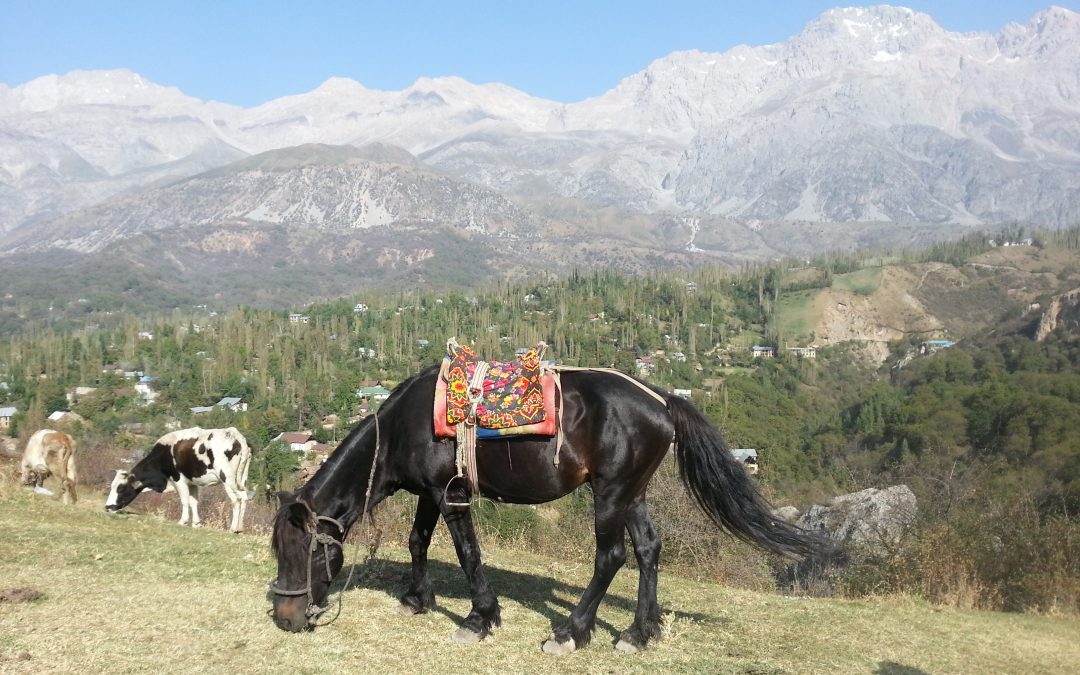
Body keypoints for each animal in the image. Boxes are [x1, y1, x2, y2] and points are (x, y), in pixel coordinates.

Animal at [108, 425, 254, 531]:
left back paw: (233, 528)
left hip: (227, 478)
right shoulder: (192, 482)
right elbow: (194, 502)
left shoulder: (178, 480)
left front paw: (182, 521)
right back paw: (240, 528)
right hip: (240, 479)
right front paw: (196, 523)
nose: (108, 507)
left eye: (121, 488)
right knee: (244, 497)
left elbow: (184, 501)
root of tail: (234, 433)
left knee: (236, 500)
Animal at [270, 362, 816, 652]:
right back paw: (639, 632)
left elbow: (468, 554)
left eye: (308, 552)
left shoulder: (449, 493)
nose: (286, 617)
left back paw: (572, 632)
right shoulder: (428, 492)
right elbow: (417, 540)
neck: (407, 424)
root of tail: (661, 400)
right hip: (633, 493)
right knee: (648, 550)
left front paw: (480, 618)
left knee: (611, 557)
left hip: (610, 493)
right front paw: (417, 598)